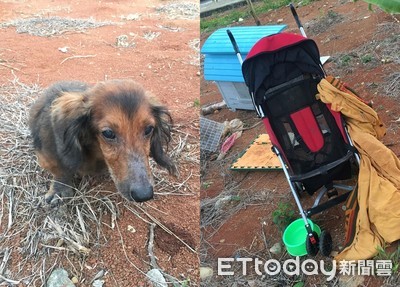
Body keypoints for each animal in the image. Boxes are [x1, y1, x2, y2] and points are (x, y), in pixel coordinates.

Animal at [28, 80, 176, 206]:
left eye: (149, 129)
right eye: (108, 133)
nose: (143, 194)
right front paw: (59, 190)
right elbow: (61, 170)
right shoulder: (47, 156)